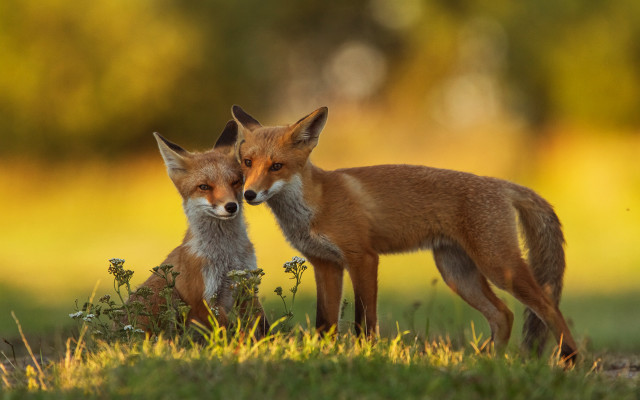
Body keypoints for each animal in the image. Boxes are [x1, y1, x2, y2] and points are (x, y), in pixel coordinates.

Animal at [128, 121, 269, 337]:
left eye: (235, 182)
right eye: (204, 187)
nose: (231, 206)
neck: (226, 255)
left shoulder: (247, 284)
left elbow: (262, 324)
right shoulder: (203, 299)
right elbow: (229, 331)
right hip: (164, 291)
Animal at [229, 105, 578, 360]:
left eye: (276, 166)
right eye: (247, 162)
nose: (248, 195)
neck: (315, 204)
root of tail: (500, 183)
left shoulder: (362, 258)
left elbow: (364, 322)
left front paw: (365, 356)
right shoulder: (325, 265)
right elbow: (324, 323)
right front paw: (325, 355)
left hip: (499, 266)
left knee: (549, 307)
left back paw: (570, 361)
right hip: (457, 273)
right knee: (504, 315)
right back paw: (491, 362)